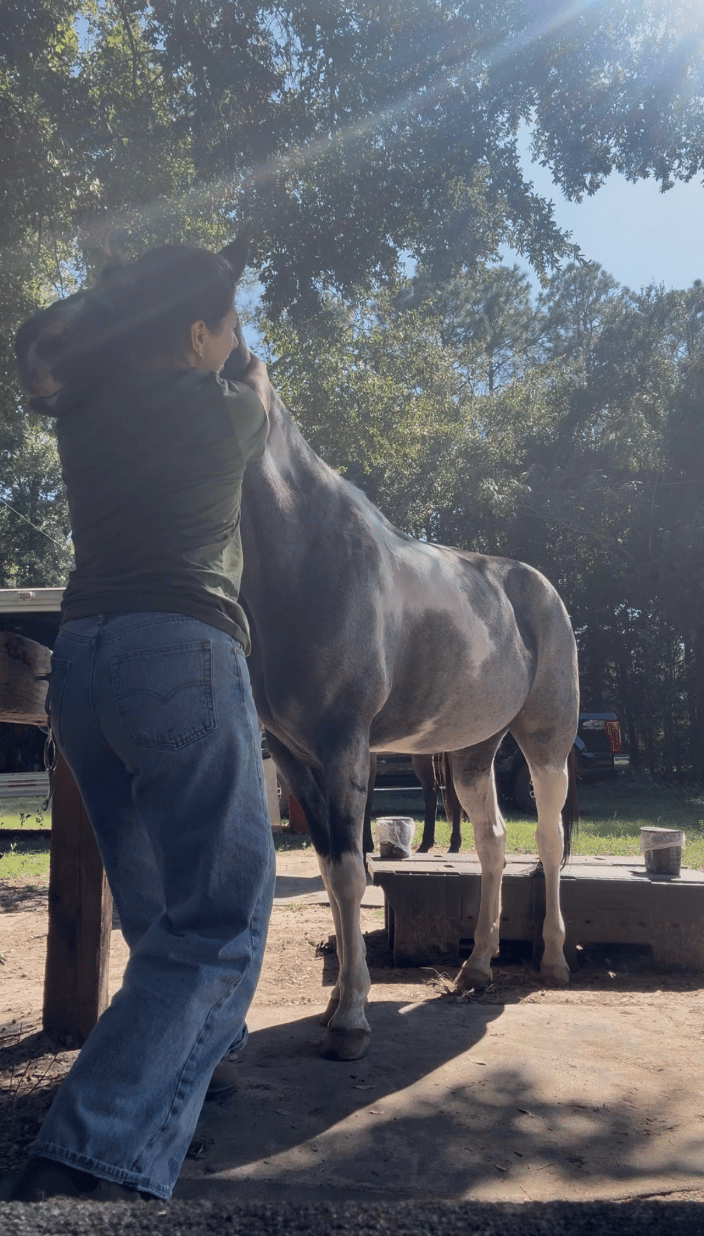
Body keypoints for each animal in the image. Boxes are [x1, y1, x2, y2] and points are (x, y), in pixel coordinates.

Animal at [16, 236, 580, 1064]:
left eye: (163, 290)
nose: (33, 345)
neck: (305, 552)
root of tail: (534, 586)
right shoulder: (294, 752)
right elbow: (328, 865)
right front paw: (337, 1003)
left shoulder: (346, 745)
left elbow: (350, 875)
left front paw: (350, 1022)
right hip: (471, 751)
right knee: (492, 841)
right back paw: (476, 967)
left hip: (546, 742)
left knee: (547, 834)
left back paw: (552, 960)